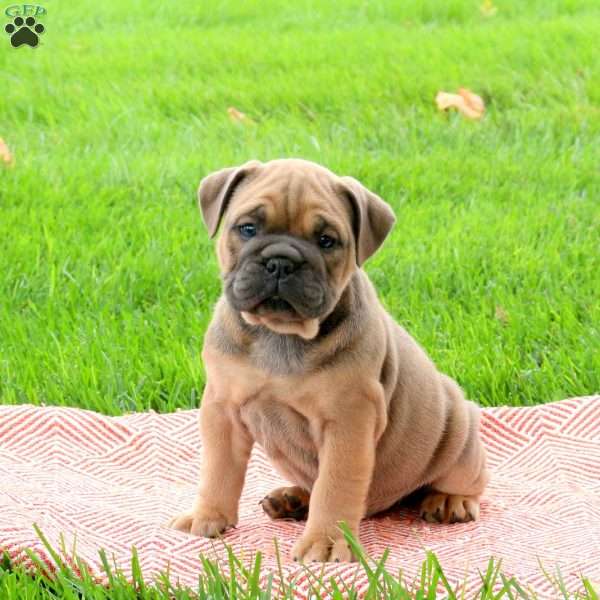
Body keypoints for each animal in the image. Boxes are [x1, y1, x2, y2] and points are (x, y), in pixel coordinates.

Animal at [169, 158, 488, 564]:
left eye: (326, 241)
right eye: (247, 228)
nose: (280, 262)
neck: (281, 335)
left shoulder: (347, 422)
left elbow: (335, 487)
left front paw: (324, 542)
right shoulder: (222, 409)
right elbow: (218, 470)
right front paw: (207, 516)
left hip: (459, 430)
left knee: (467, 478)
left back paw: (450, 500)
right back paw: (292, 498)